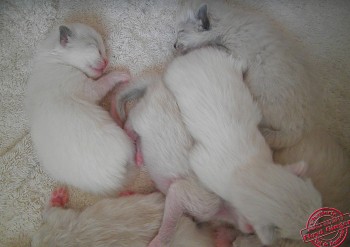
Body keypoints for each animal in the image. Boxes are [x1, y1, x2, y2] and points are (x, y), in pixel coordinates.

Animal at [25, 23, 135, 195]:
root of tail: (115, 180)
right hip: (122, 140)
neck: (54, 60)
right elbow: (104, 82)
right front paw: (121, 75)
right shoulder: (86, 87)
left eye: (104, 50)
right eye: (96, 48)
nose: (106, 61)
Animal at [176, 0, 316, 151]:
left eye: (180, 32)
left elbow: (208, 46)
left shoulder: (235, 54)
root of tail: (300, 127)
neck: (225, 26)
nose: (174, 45)